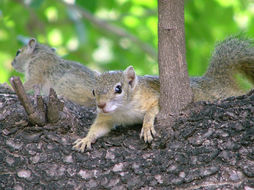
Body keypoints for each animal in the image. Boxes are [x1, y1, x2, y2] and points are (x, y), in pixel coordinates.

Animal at [73, 36, 254, 151]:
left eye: (119, 89)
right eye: (93, 91)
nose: (101, 105)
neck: (123, 110)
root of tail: (214, 80)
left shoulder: (152, 97)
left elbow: (151, 111)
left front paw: (146, 127)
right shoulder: (107, 117)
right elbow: (98, 128)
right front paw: (86, 139)